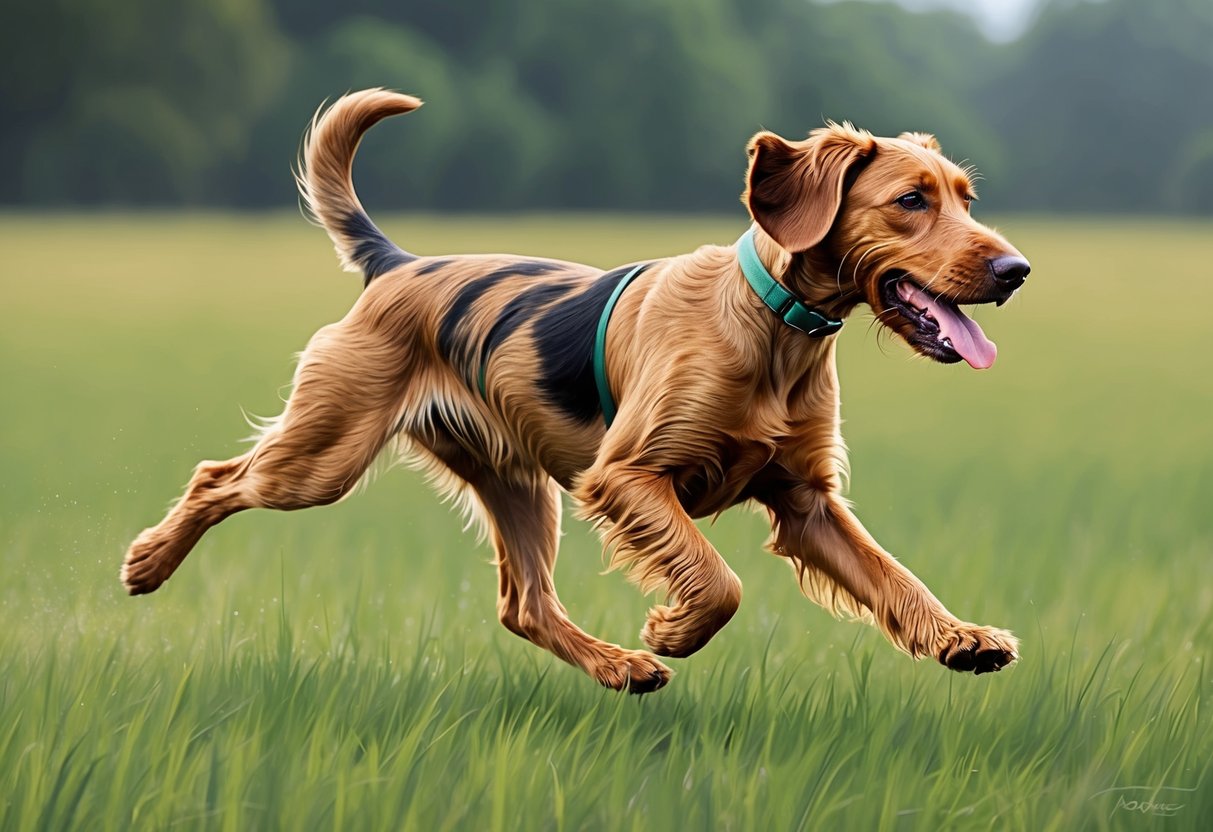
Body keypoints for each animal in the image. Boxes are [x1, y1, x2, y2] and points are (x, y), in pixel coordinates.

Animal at [120, 89, 1033, 698]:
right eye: (909, 200)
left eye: (965, 199)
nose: (1015, 270)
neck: (772, 328)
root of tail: (395, 262)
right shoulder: (626, 475)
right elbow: (718, 581)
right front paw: (673, 627)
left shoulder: (807, 502)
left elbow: (894, 578)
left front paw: (961, 638)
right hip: (324, 455)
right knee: (216, 477)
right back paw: (149, 562)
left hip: (513, 481)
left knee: (522, 605)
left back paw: (617, 667)